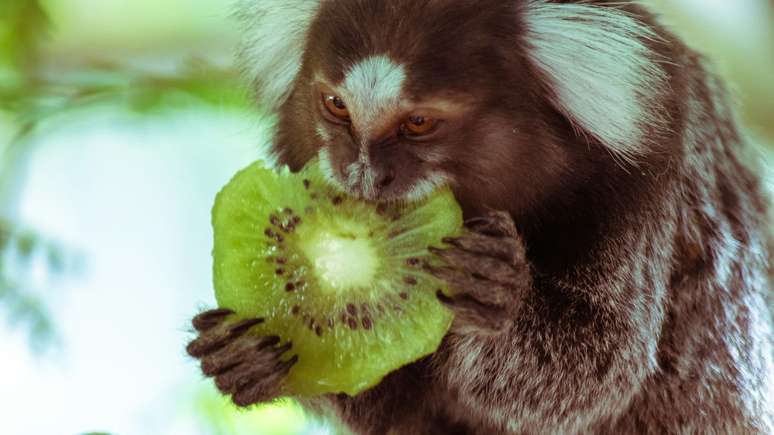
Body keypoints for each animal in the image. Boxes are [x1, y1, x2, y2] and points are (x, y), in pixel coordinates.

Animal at [189, 1, 774, 434]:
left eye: (419, 123)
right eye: (336, 106)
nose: (362, 174)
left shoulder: (646, 171)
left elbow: (599, 369)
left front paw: (500, 295)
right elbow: (385, 398)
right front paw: (254, 356)